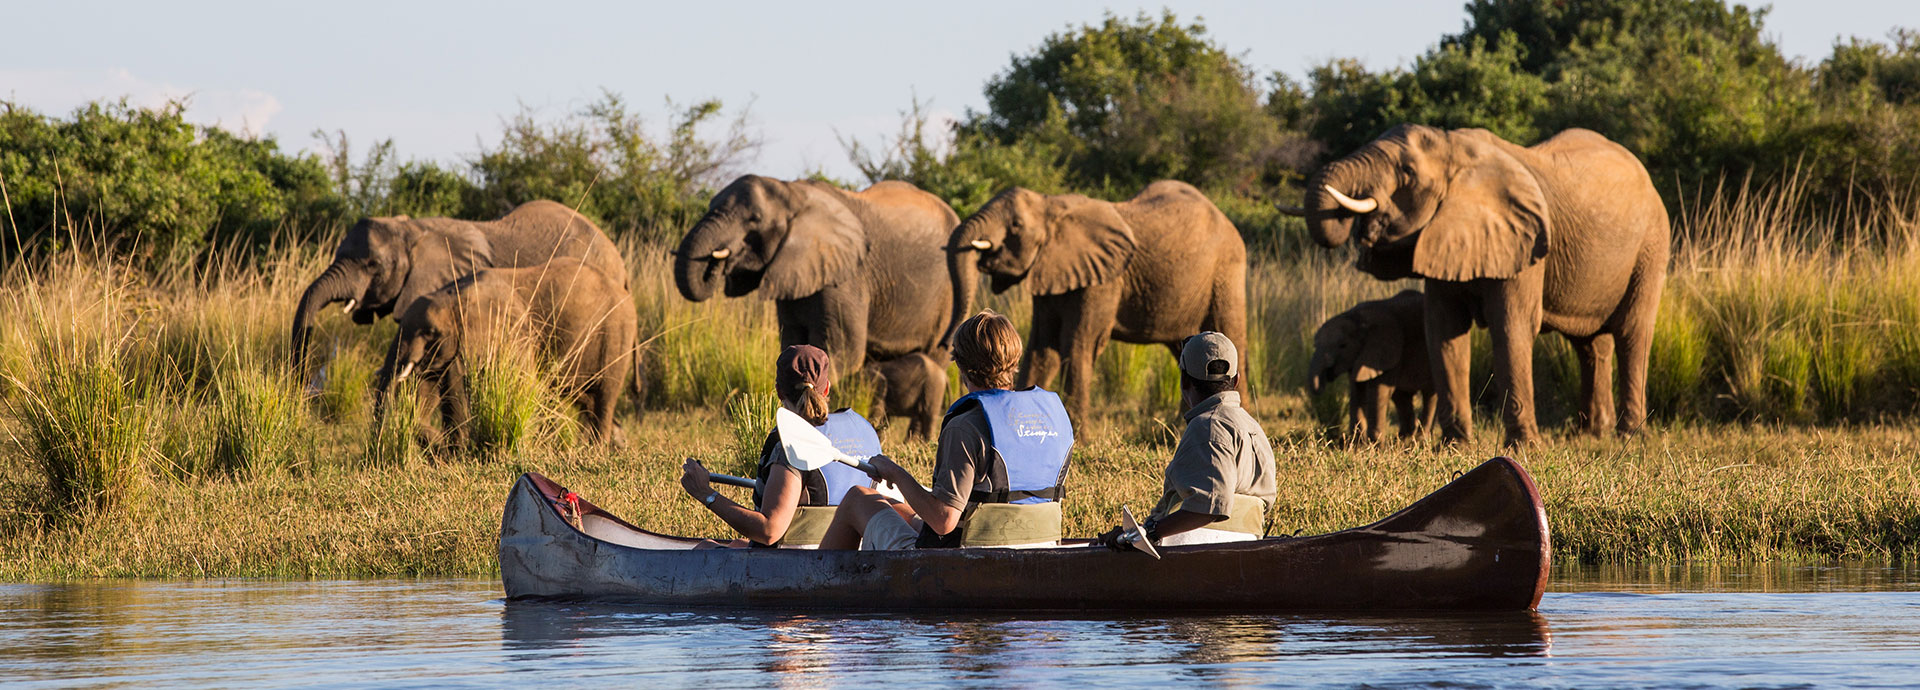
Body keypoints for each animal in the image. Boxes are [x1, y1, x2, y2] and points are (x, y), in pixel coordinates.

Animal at [391, 258, 637, 445]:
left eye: (430, 333)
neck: (453, 294)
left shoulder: (512, 333)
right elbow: (430, 386)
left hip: (617, 335)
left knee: (605, 396)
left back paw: (597, 450)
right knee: (586, 401)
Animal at [672, 176, 957, 439]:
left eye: (754, 219)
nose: (718, 261)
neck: (793, 192)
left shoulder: (845, 278)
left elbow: (843, 352)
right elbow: (792, 342)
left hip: (947, 295)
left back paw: (917, 441)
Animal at [944, 180, 1249, 420]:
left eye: (1016, 226)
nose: (947, 347)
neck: (1051, 205)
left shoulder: (1102, 281)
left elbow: (1077, 345)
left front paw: (1079, 438)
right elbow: (1041, 348)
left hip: (1227, 270)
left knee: (1229, 335)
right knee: (1184, 348)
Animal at [1309, 290, 1436, 444]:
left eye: (1343, 346)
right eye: (1315, 344)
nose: (1325, 381)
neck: (1358, 318)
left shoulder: (1386, 353)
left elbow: (1378, 392)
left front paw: (1375, 445)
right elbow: (1357, 393)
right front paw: (1357, 445)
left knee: (1429, 394)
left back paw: (1419, 439)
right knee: (1402, 396)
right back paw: (1404, 440)